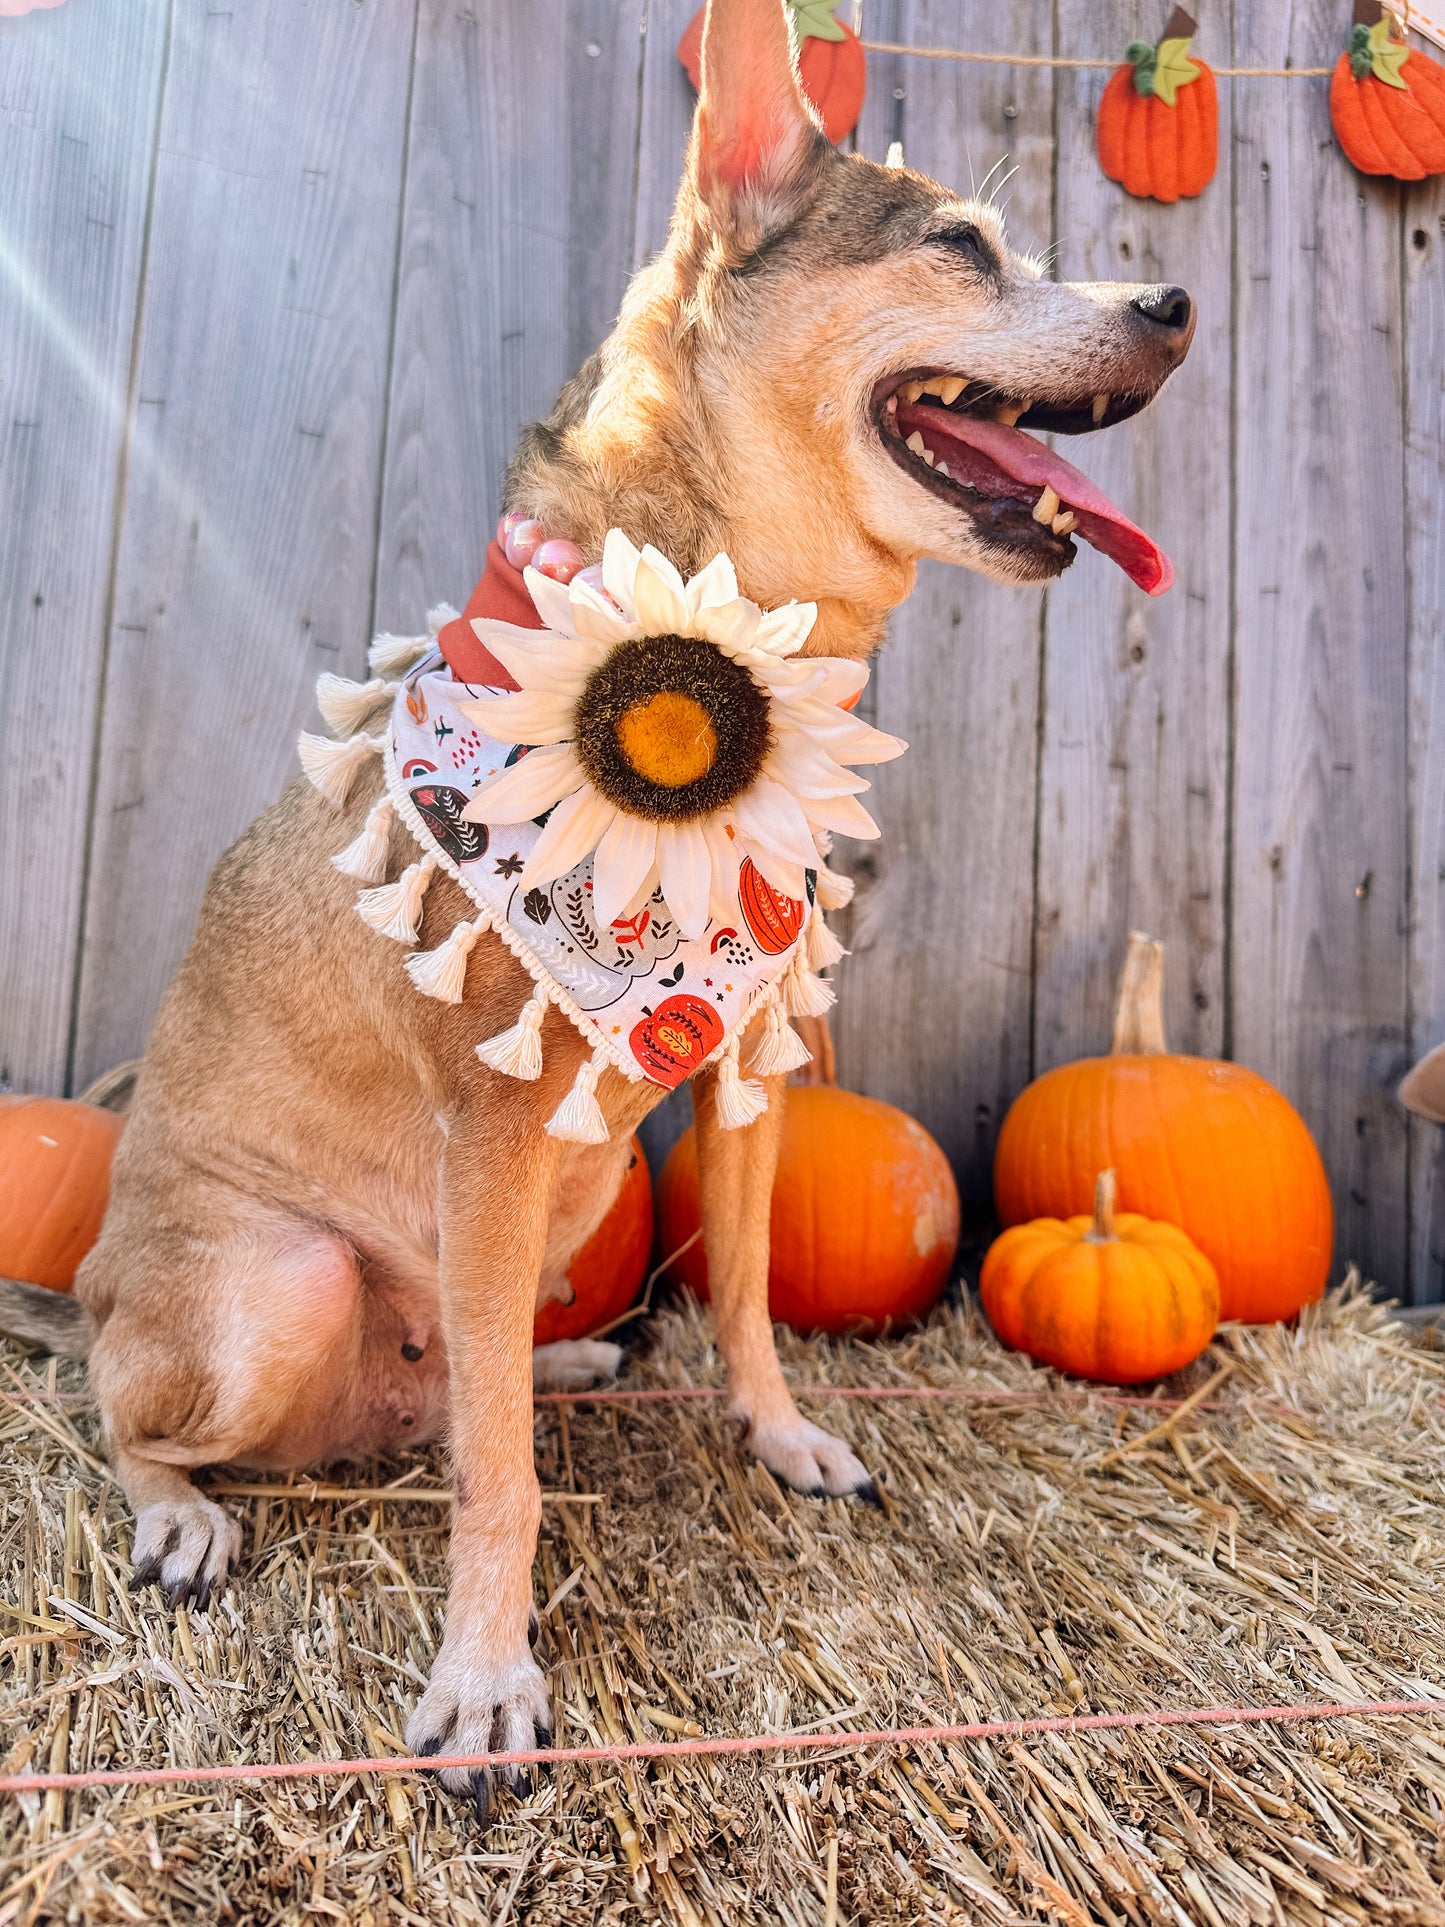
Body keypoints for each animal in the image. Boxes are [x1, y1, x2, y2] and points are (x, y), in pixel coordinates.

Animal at [0, 0, 1194, 1803]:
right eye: (964, 245)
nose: (1177, 306)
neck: (732, 642)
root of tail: (89, 1300)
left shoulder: (749, 1069)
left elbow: (752, 1291)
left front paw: (777, 1430)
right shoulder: (494, 1136)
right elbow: (501, 1480)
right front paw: (486, 1677)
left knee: (463, 1388)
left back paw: (560, 1358)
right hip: (288, 1283)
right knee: (149, 1417)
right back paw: (183, 1512)